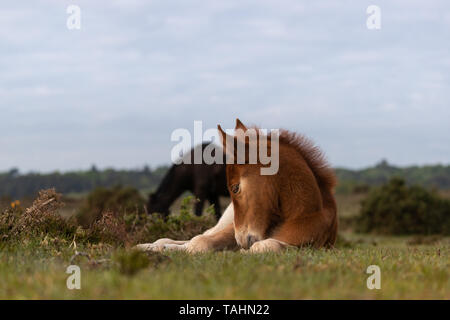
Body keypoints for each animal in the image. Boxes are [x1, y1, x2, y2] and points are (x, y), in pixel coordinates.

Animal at [137, 119, 338, 254]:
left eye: (235, 188)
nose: (241, 240)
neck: (304, 213)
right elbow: (199, 242)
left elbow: (265, 245)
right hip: (226, 223)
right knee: (193, 237)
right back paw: (148, 246)